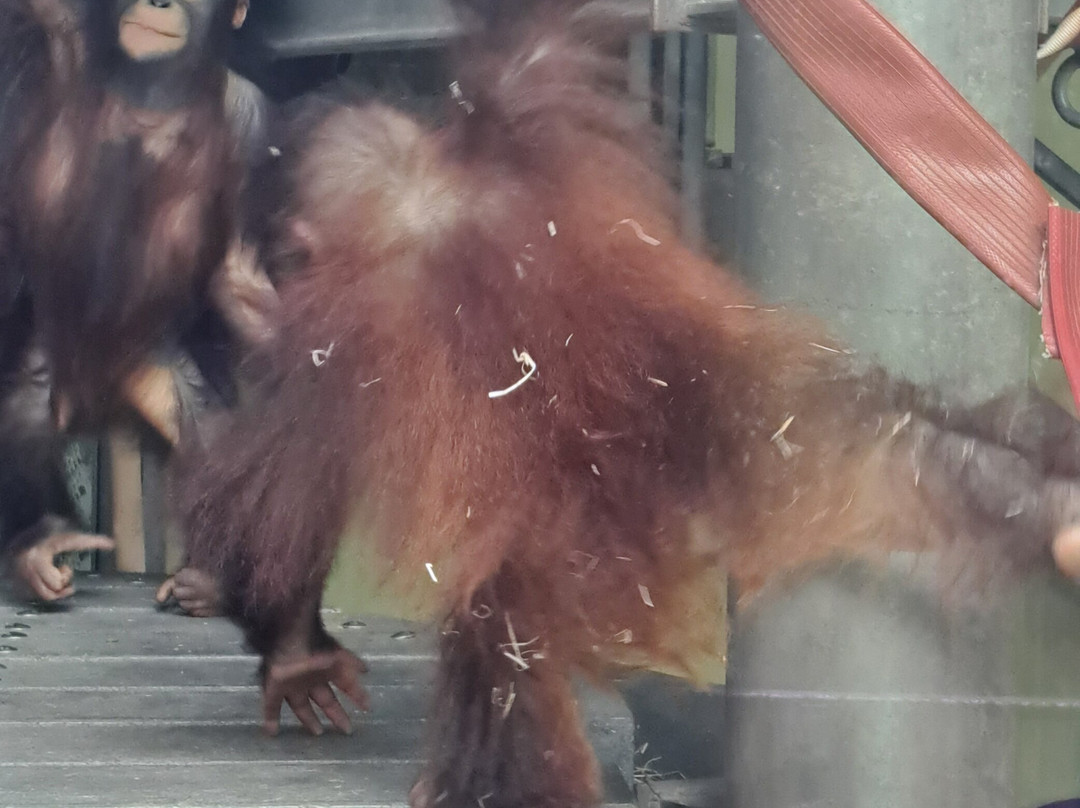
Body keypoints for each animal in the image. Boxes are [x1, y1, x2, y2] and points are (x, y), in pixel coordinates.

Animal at [171, 3, 1080, 807]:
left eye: (292, 254)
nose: (268, 263)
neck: (428, 207)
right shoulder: (529, 98)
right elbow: (548, 27)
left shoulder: (329, 345)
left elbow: (278, 502)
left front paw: (296, 659)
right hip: (792, 435)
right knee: (949, 457)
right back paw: (1051, 497)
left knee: (499, 640)